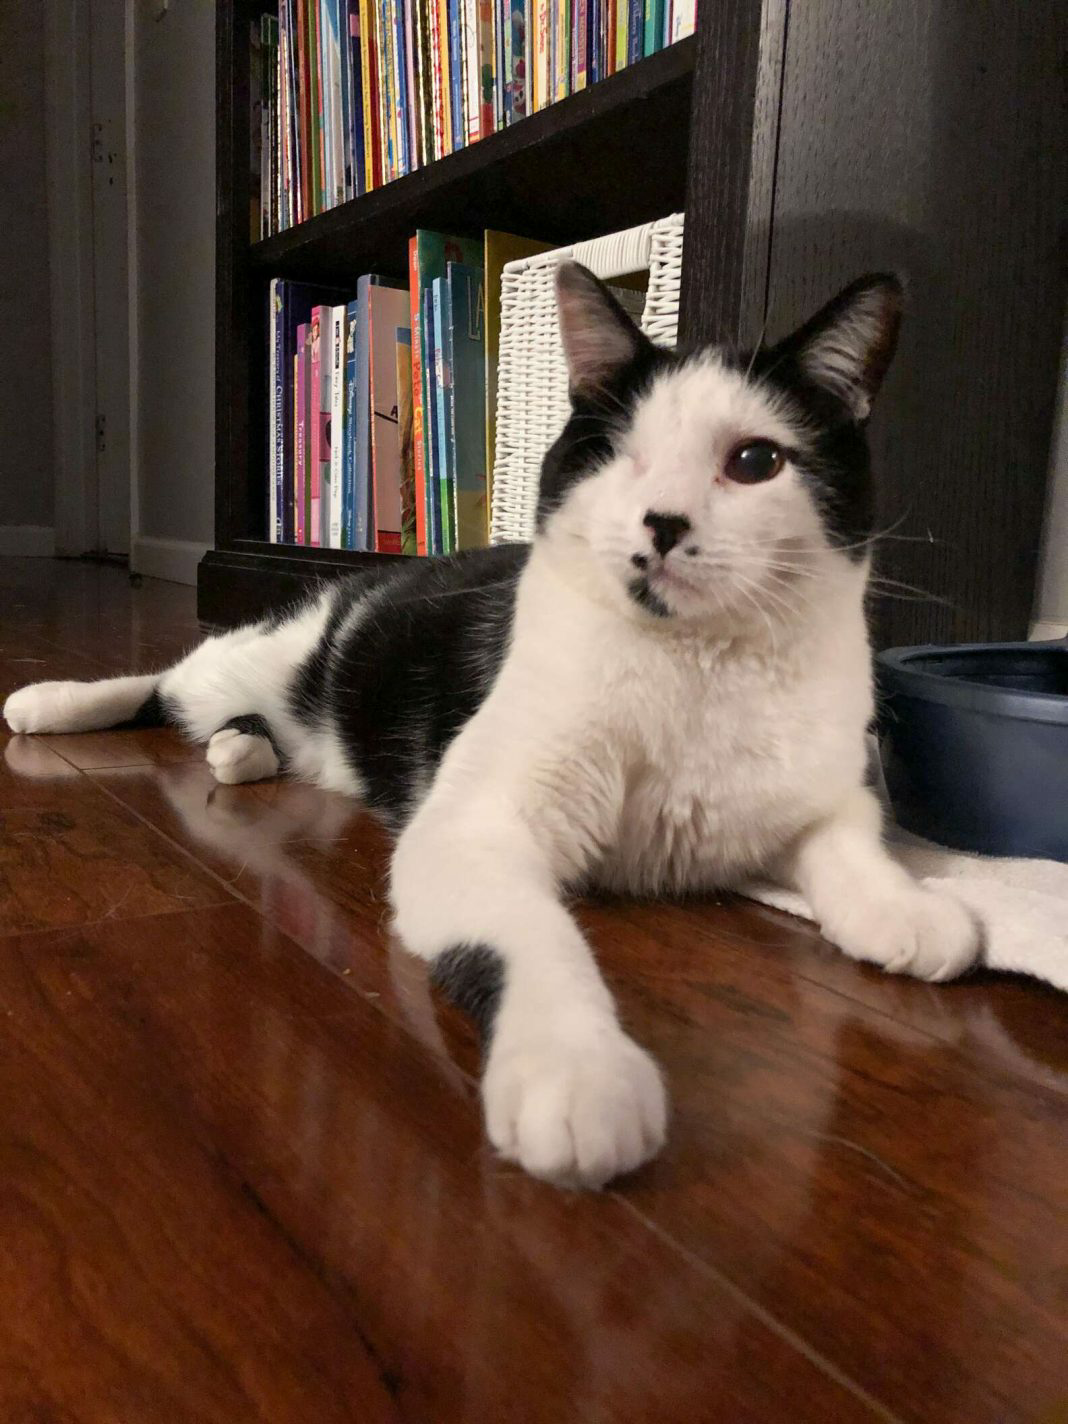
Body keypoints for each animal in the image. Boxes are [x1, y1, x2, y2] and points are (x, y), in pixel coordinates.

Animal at [4, 264, 985, 1190]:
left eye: (755, 460)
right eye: (617, 454)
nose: (663, 523)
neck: (696, 667)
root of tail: (375, 575)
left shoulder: (823, 784)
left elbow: (848, 841)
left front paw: (908, 907)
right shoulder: (472, 826)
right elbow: (529, 940)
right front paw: (578, 1072)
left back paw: (242, 751)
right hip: (252, 660)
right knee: (165, 681)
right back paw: (47, 703)